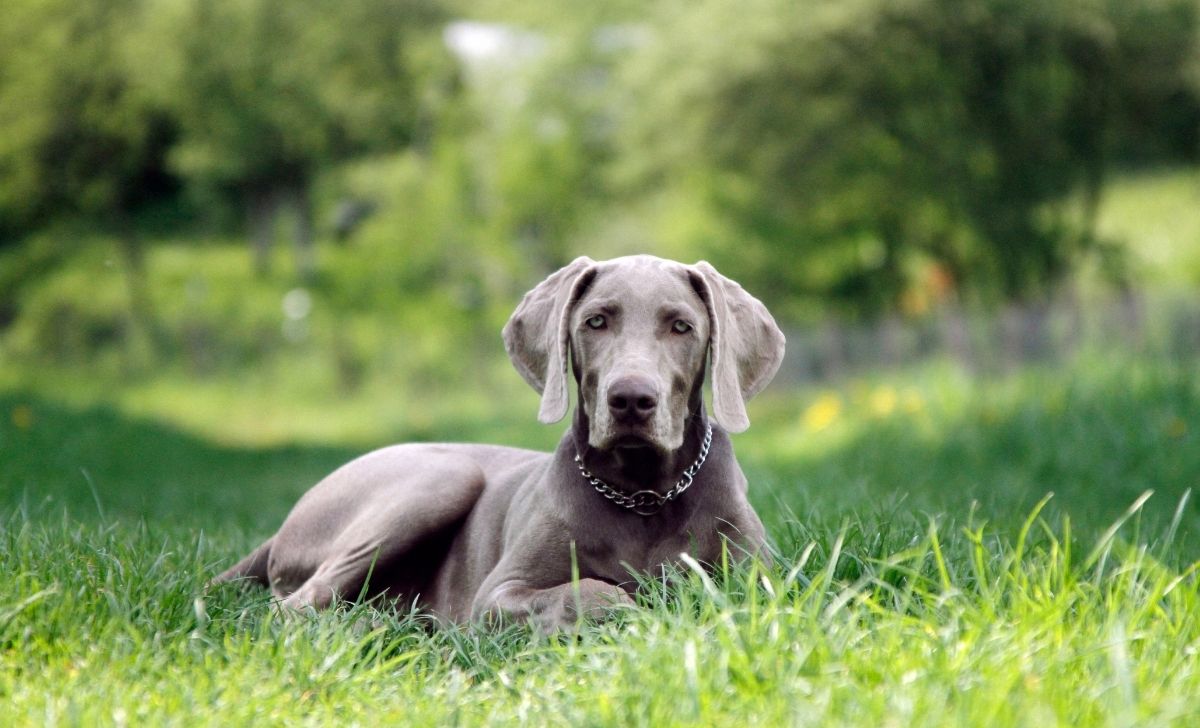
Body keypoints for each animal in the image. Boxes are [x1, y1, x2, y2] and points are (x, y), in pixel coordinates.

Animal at [216, 255, 787, 633]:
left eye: (681, 327)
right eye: (596, 321)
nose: (630, 400)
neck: (645, 495)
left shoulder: (761, 582)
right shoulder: (497, 595)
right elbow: (594, 592)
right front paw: (641, 611)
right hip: (442, 477)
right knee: (295, 606)